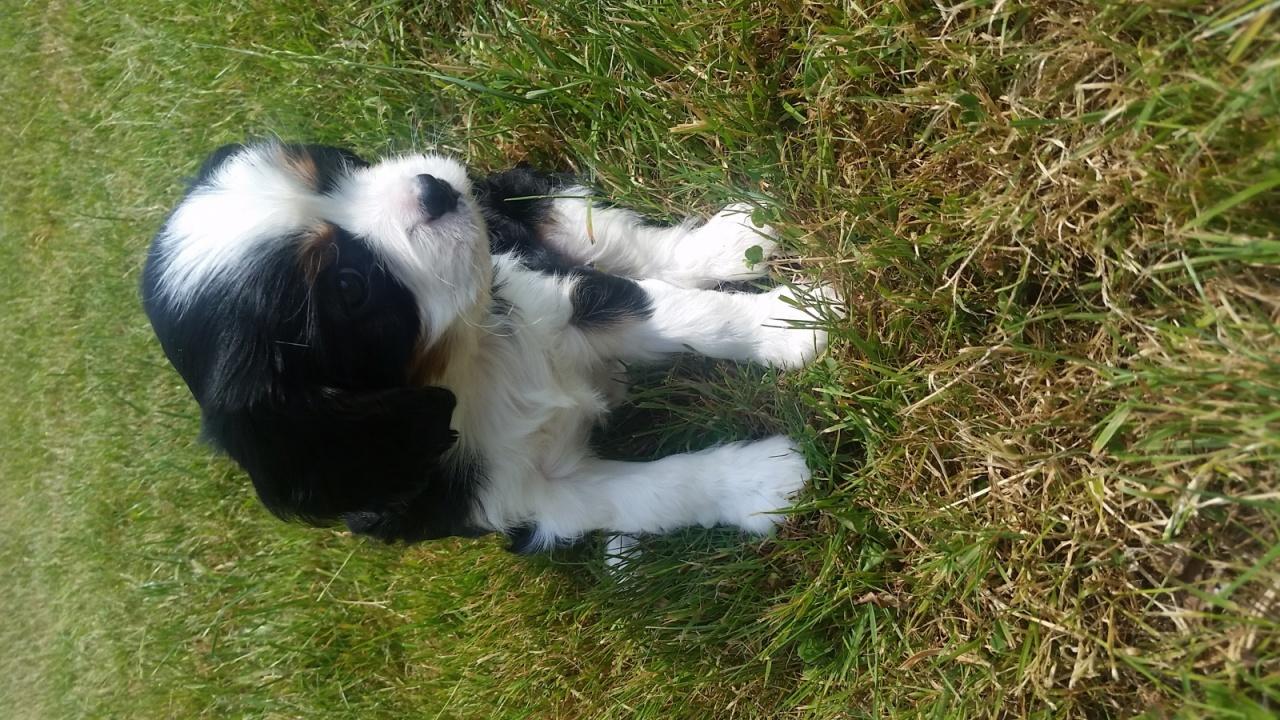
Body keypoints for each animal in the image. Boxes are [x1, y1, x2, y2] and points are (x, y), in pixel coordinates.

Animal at [142, 142, 829, 550]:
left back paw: (733, 239)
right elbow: (652, 492)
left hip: (513, 203)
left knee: (609, 238)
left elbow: (686, 311)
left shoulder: (559, 299)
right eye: (349, 287)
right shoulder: (527, 497)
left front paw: (792, 323)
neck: (467, 355)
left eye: (332, 164)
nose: (433, 190)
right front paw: (763, 481)